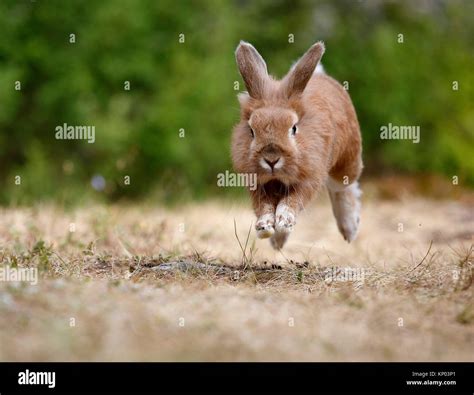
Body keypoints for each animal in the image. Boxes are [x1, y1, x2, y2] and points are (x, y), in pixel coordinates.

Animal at [231, 41, 362, 251]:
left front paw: (284, 222)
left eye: (293, 128)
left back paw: (349, 227)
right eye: (252, 131)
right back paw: (278, 241)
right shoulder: (257, 185)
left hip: (346, 161)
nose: (271, 159)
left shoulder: (309, 178)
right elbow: (264, 207)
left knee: (343, 187)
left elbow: (292, 201)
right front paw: (265, 227)